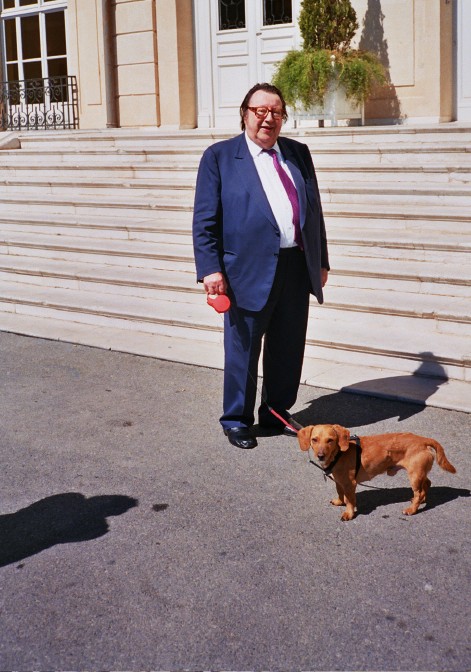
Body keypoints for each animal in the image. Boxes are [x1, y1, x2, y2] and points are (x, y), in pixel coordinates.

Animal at [297, 424, 456, 521]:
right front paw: (339, 501)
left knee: (419, 492)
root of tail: (423, 440)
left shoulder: (350, 484)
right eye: (314, 440)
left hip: (414, 476)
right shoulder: (339, 481)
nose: (320, 455)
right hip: (420, 473)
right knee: (427, 484)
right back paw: (421, 500)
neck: (339, 454)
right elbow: (340, 493)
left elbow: (350, 500)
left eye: (330, 440)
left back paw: (412, 509)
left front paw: (349, 513)